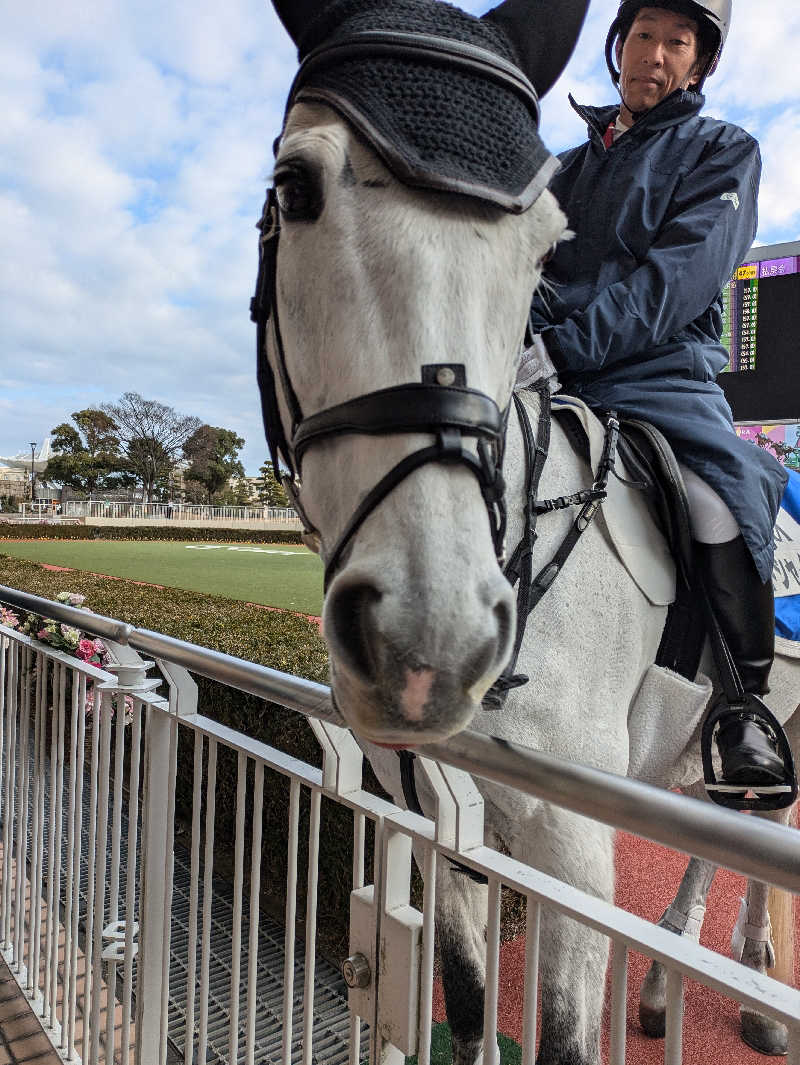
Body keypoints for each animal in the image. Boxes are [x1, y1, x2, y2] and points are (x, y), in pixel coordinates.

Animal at [264, 4, 800, 1060]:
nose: (428, 641)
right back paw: (671, 980)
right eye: (293, 188)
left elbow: (559, 1031)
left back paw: (755, 993)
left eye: (547, 242)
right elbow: (469, 1004)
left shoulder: (575, 842)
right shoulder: (440, 806)